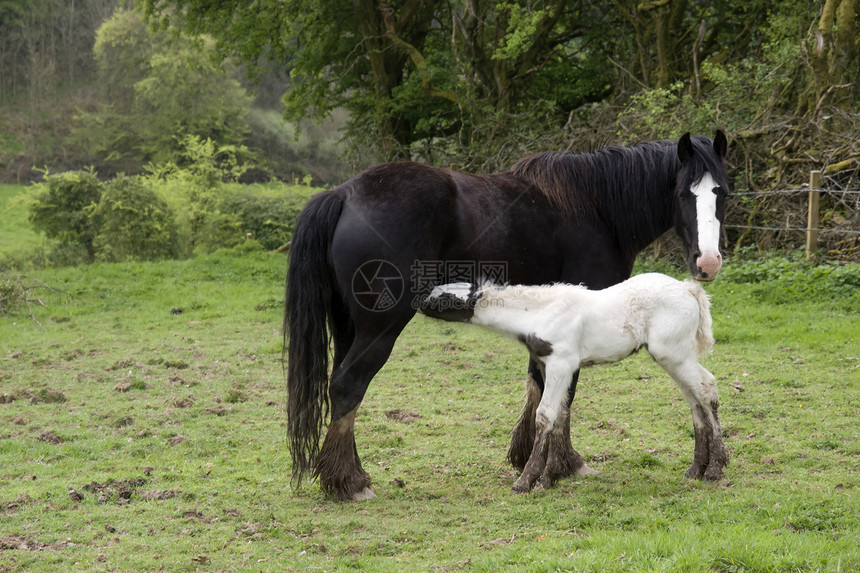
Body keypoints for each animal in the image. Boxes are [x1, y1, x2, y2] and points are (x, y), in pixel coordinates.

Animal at [420, 272, 728, 492]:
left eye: (446, 298)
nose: (419, 303)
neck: (538, 314)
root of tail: (690, 289)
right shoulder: (549, 366)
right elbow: (559, 414)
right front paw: (550, 477)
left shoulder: (562, 363)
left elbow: (545, 415)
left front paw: (526, 481)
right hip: (675, 356)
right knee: (694, 398)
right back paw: (696, 469)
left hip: (672, 353)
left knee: (707, 388)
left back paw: (715, 469)